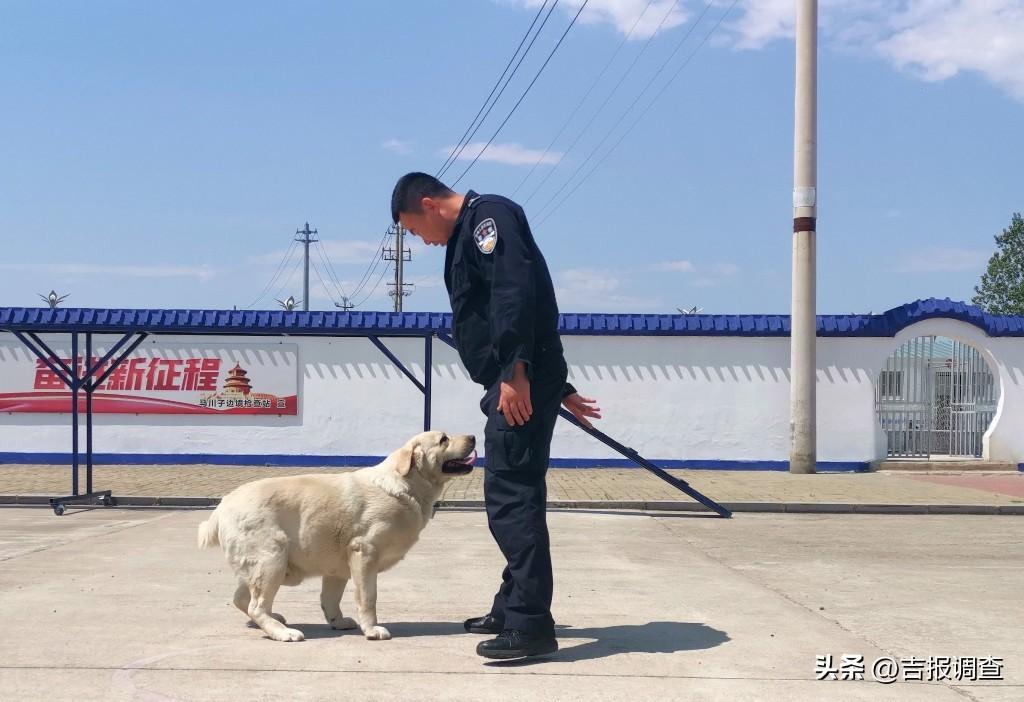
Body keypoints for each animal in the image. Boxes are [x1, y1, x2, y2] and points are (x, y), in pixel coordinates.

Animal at [196, 429, 475, 642]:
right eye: (444, 439)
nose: (473, 436)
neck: (406, 485)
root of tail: (222, 506)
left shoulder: (337, 568)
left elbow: (330, 598)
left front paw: (337, 621)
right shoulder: (364, 552)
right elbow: (368, 597)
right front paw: (371, 629)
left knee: (242, 599)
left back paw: (274, 620)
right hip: (271, 558)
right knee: (256, 605)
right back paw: (283, 632)